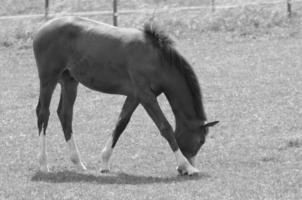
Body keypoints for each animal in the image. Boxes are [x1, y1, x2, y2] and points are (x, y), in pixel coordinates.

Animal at [33, 16, 218, 177]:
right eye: (201, 141)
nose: (182, 170)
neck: (157, 60)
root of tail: (41, 29)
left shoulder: (135, 96)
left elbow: (121, 123)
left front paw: (104, 162)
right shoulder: (146, 96)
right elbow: (165, 127)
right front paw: (187, 166)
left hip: (69, 81)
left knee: (65, 114)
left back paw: (78, 163)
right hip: (49, 79)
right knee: (43, 113)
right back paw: (43, 164)